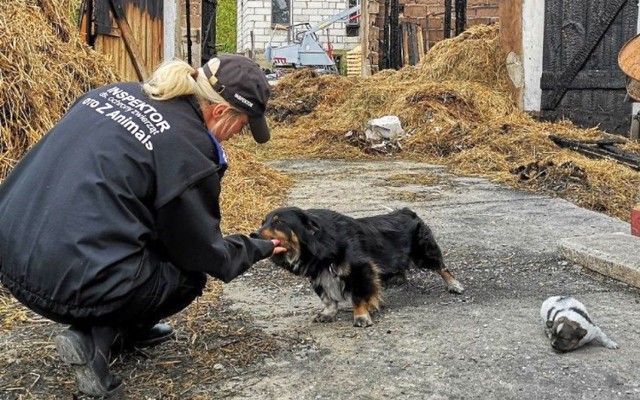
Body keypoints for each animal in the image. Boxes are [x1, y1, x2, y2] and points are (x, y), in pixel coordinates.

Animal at [251, 208, 464, 326]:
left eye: (279, 221)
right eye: (263, 222)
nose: (253, 235)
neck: (324, 243)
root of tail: (407, 211)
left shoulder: (361, 269)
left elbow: (358, 296)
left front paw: (361, 316)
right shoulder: (319, 274)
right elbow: (328, 298)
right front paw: (328, 313)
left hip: (424, 253)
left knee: (441, 267)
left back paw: (454, 285)